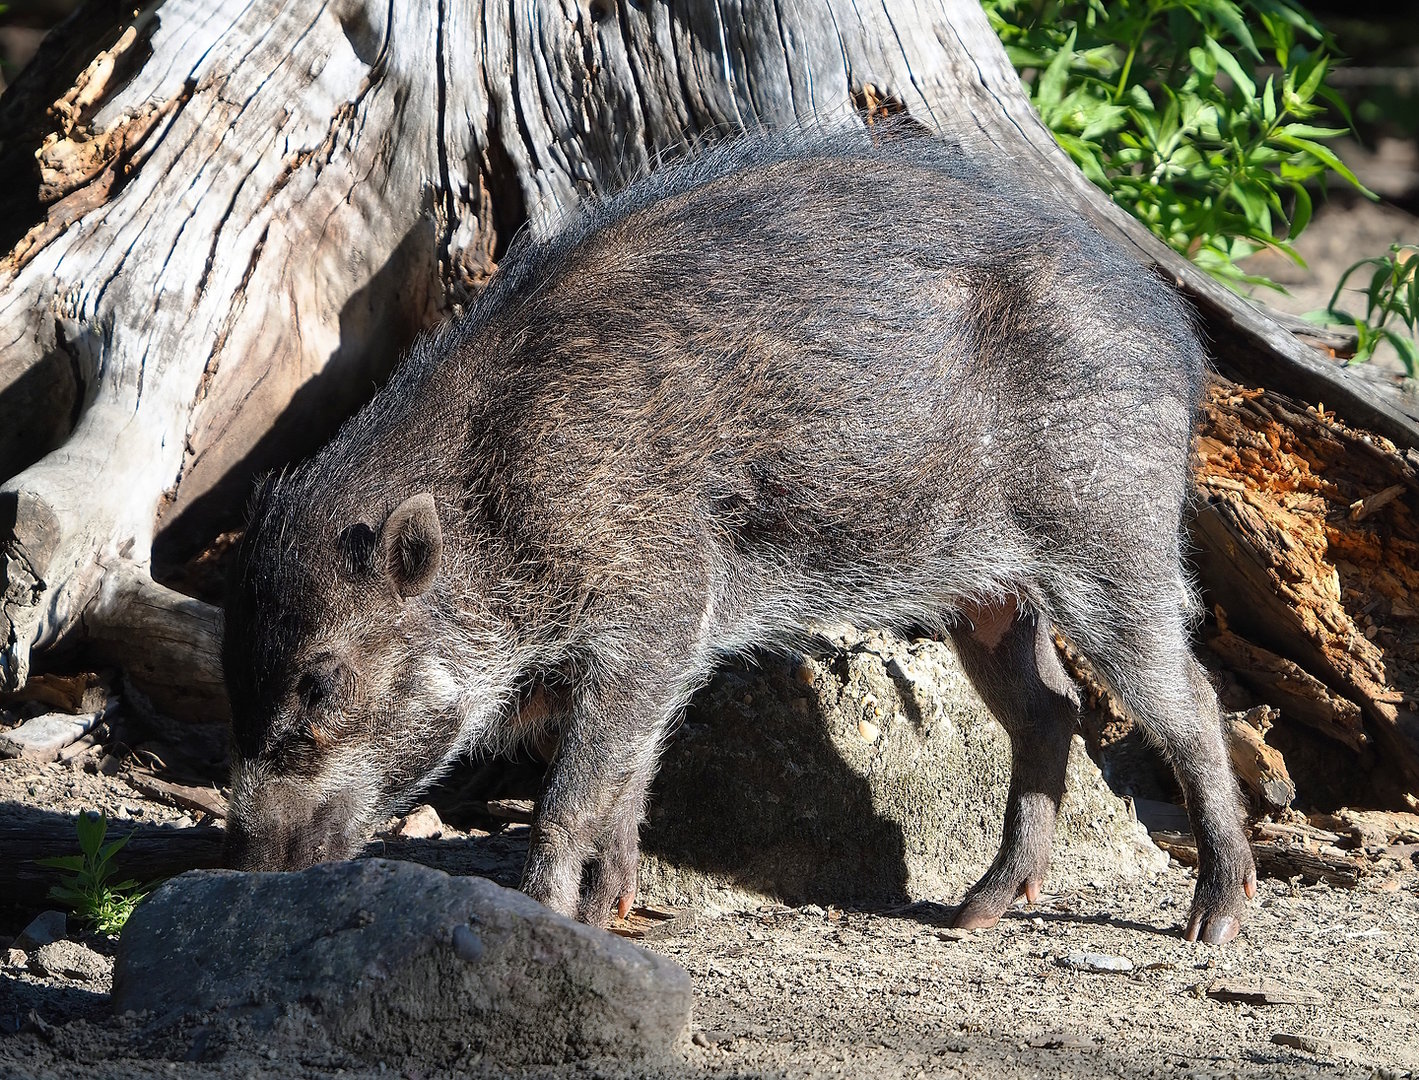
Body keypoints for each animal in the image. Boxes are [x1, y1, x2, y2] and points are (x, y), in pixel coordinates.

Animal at [222, 128, 1256, 943]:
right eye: (236, 676)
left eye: (321, 682)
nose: (246, 865)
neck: (495, 504)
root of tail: (1179, 341)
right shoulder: (657, 651)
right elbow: (629, 782)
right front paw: (609, 916)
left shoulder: (655, 610)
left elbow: (572, 797)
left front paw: (546, 917)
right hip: (988, 591)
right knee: (1050, 707)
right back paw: (972, 915)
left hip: (1110, 540)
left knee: (1190, 702)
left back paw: (1209, 924)